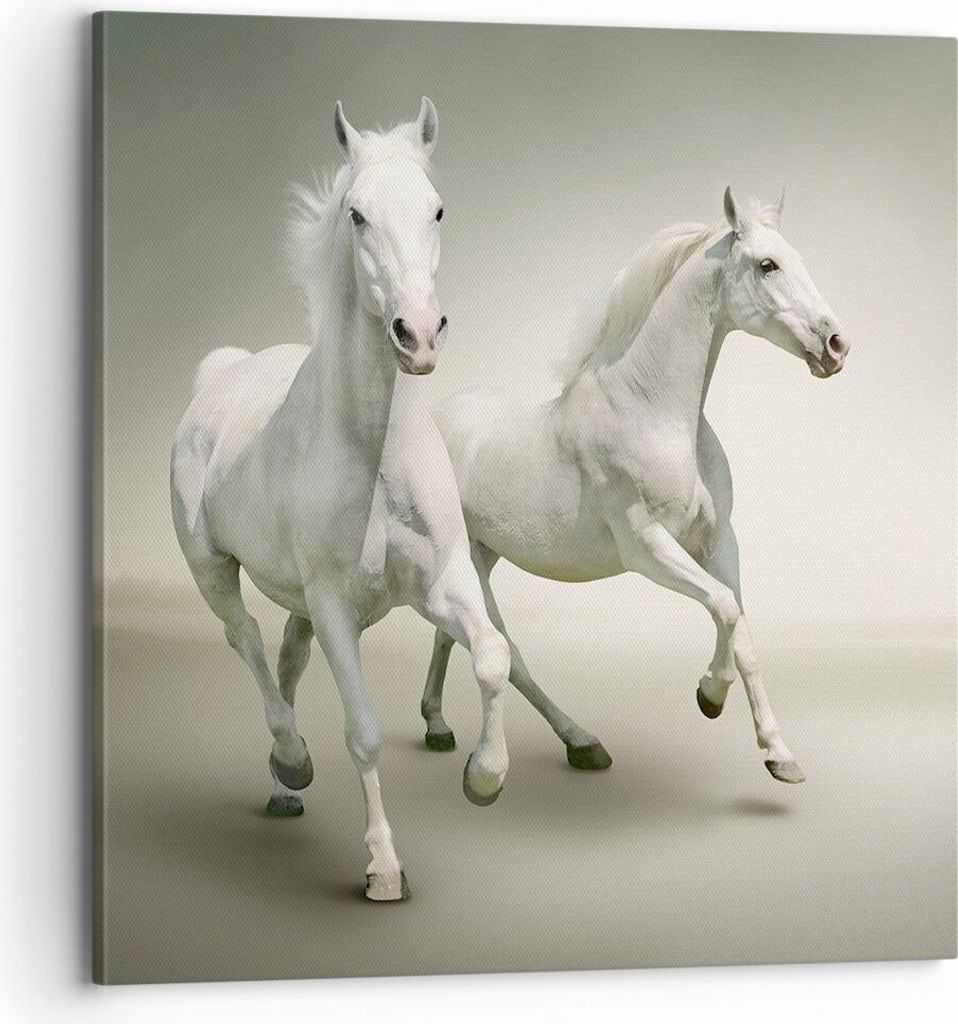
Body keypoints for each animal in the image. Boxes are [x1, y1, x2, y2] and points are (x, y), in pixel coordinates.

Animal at [171, 99, 511, 902]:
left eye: (438, 208)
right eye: (357, 215)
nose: (418, 334)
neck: (375, 455)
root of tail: (219, 375)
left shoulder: (444, 583)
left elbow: (492, 656)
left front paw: (484, 777)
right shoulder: (334, 608)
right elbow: (363, 732)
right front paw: (383, 866)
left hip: (295, 599)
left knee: (286, 659)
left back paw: (283, 784)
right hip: (211, 568)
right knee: (246, 640)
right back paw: (292, 760)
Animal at [420, 188, 849, 785]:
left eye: (797, 258)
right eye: (768, 265)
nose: (835, 345)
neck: (654, 413)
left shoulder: (718, 540)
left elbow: (742, 629)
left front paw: (777, 752)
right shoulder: (647, 548)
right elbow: (725, 607)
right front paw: (711, 695)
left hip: (481, 555)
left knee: (451, 635)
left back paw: (439, 726)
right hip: (470, 562)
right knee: (503, 651)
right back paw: (576, 743)